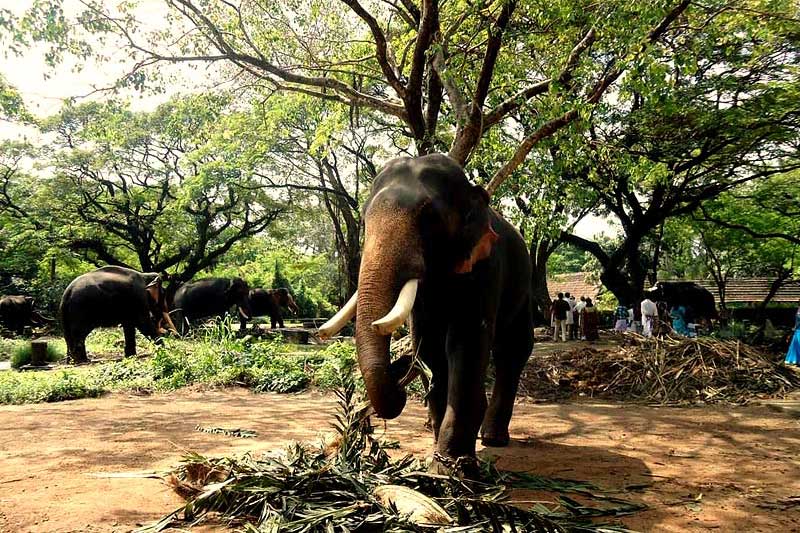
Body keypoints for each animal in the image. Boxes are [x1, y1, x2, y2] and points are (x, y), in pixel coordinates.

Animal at [318, 154, 534, 476]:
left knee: (514, 350)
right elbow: (429, 346)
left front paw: (452, 470)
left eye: (430, 216)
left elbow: (465, 341)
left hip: (525, 286)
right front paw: (440, 458)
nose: (399, 381)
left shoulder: (486, 266)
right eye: (365, 219)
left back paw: (493, 439)